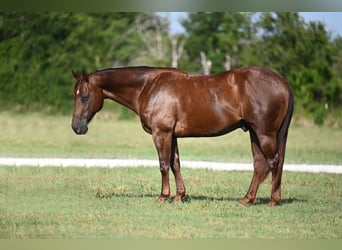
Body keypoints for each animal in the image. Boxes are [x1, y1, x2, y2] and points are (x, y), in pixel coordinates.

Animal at [71, 65, 292, 206]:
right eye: (75, 94)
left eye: (85, 96)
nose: (76, 127)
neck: (148, 86)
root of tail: (282, 82)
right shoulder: (172, 135)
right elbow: (175, 164)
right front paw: (179, 196)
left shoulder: (161, 133)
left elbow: (163, 165)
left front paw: (163, 196)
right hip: (254, 133)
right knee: (260, 165)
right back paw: (247, 199)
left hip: (264, 133)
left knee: (274, 161)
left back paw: (273, 200)